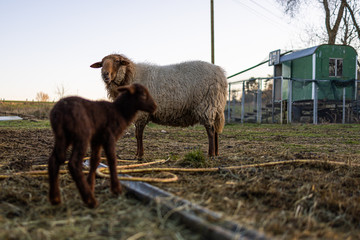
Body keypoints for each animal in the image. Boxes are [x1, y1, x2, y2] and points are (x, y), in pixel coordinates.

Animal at [91, 54, 229, 159]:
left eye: (117, 61)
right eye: (102, 63)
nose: (105, 74)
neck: (131, 76)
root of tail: (221, 73)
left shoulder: (141, 114)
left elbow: (138, 134)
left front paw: (139, 155)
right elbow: (137, 134)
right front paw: (138, 154)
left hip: (207, 105)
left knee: (210, 131)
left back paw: (210, 154)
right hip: (215, 107)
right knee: (215, 130)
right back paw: (216, 153)